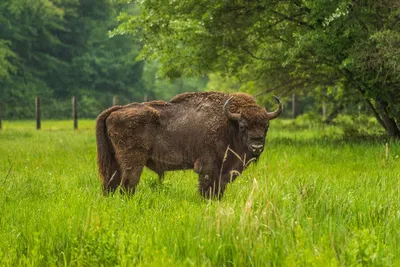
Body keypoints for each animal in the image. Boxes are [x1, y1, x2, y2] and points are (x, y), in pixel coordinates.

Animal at [96, 92, 282, 199]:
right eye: (243, 126)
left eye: (266, 126)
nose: (257, 147)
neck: (228, 124)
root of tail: (116, 110)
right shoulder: (208, 168)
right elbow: (207, 188)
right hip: (133, 163)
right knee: (128, 185)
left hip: (113, 163)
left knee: (110, 184)